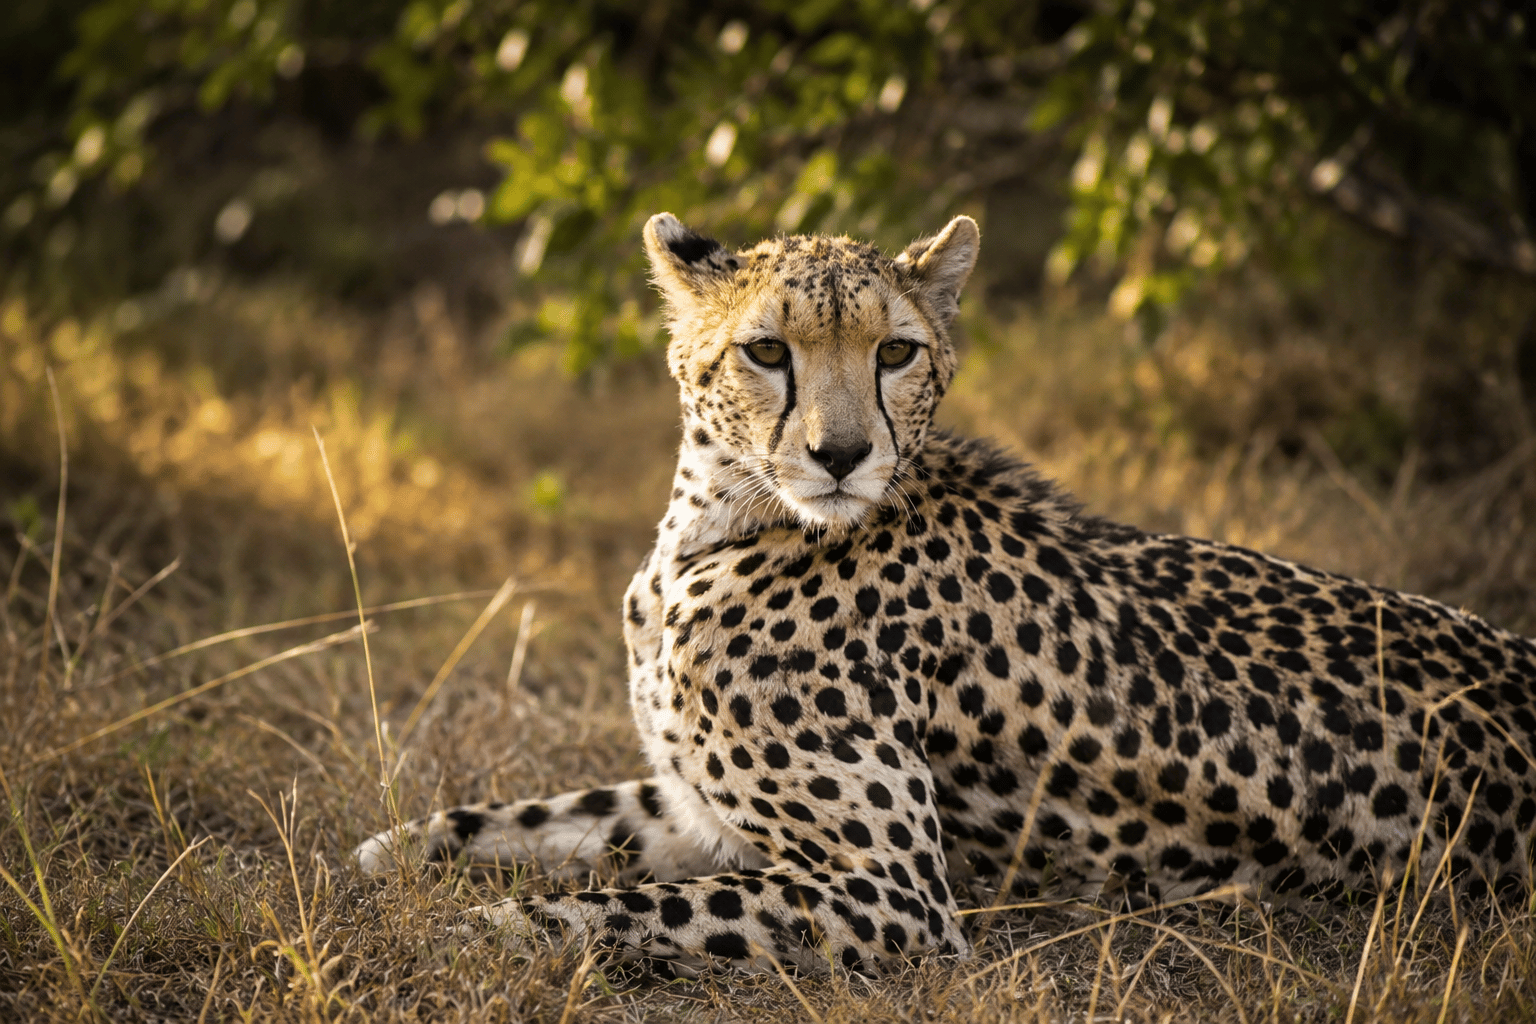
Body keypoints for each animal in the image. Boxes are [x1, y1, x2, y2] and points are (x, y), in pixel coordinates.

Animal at [356, 212, 1536, 976]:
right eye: (766, 350)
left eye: (896, 352)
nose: (840, 455)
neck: (720, 522)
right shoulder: (699, 808)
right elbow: (536, 820)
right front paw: (393, 857)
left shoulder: (891, 891)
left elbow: (595, 910)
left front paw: (461, 937)